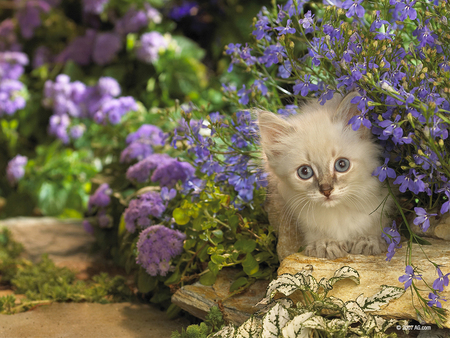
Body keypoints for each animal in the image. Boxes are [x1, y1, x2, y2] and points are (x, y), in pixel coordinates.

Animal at [258, 93, 392, 260]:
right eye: (305, 172)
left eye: (342, 165)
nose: (326, 191)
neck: (339, 212)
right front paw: (325, 243)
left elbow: (376, 225)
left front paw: (368, 239)